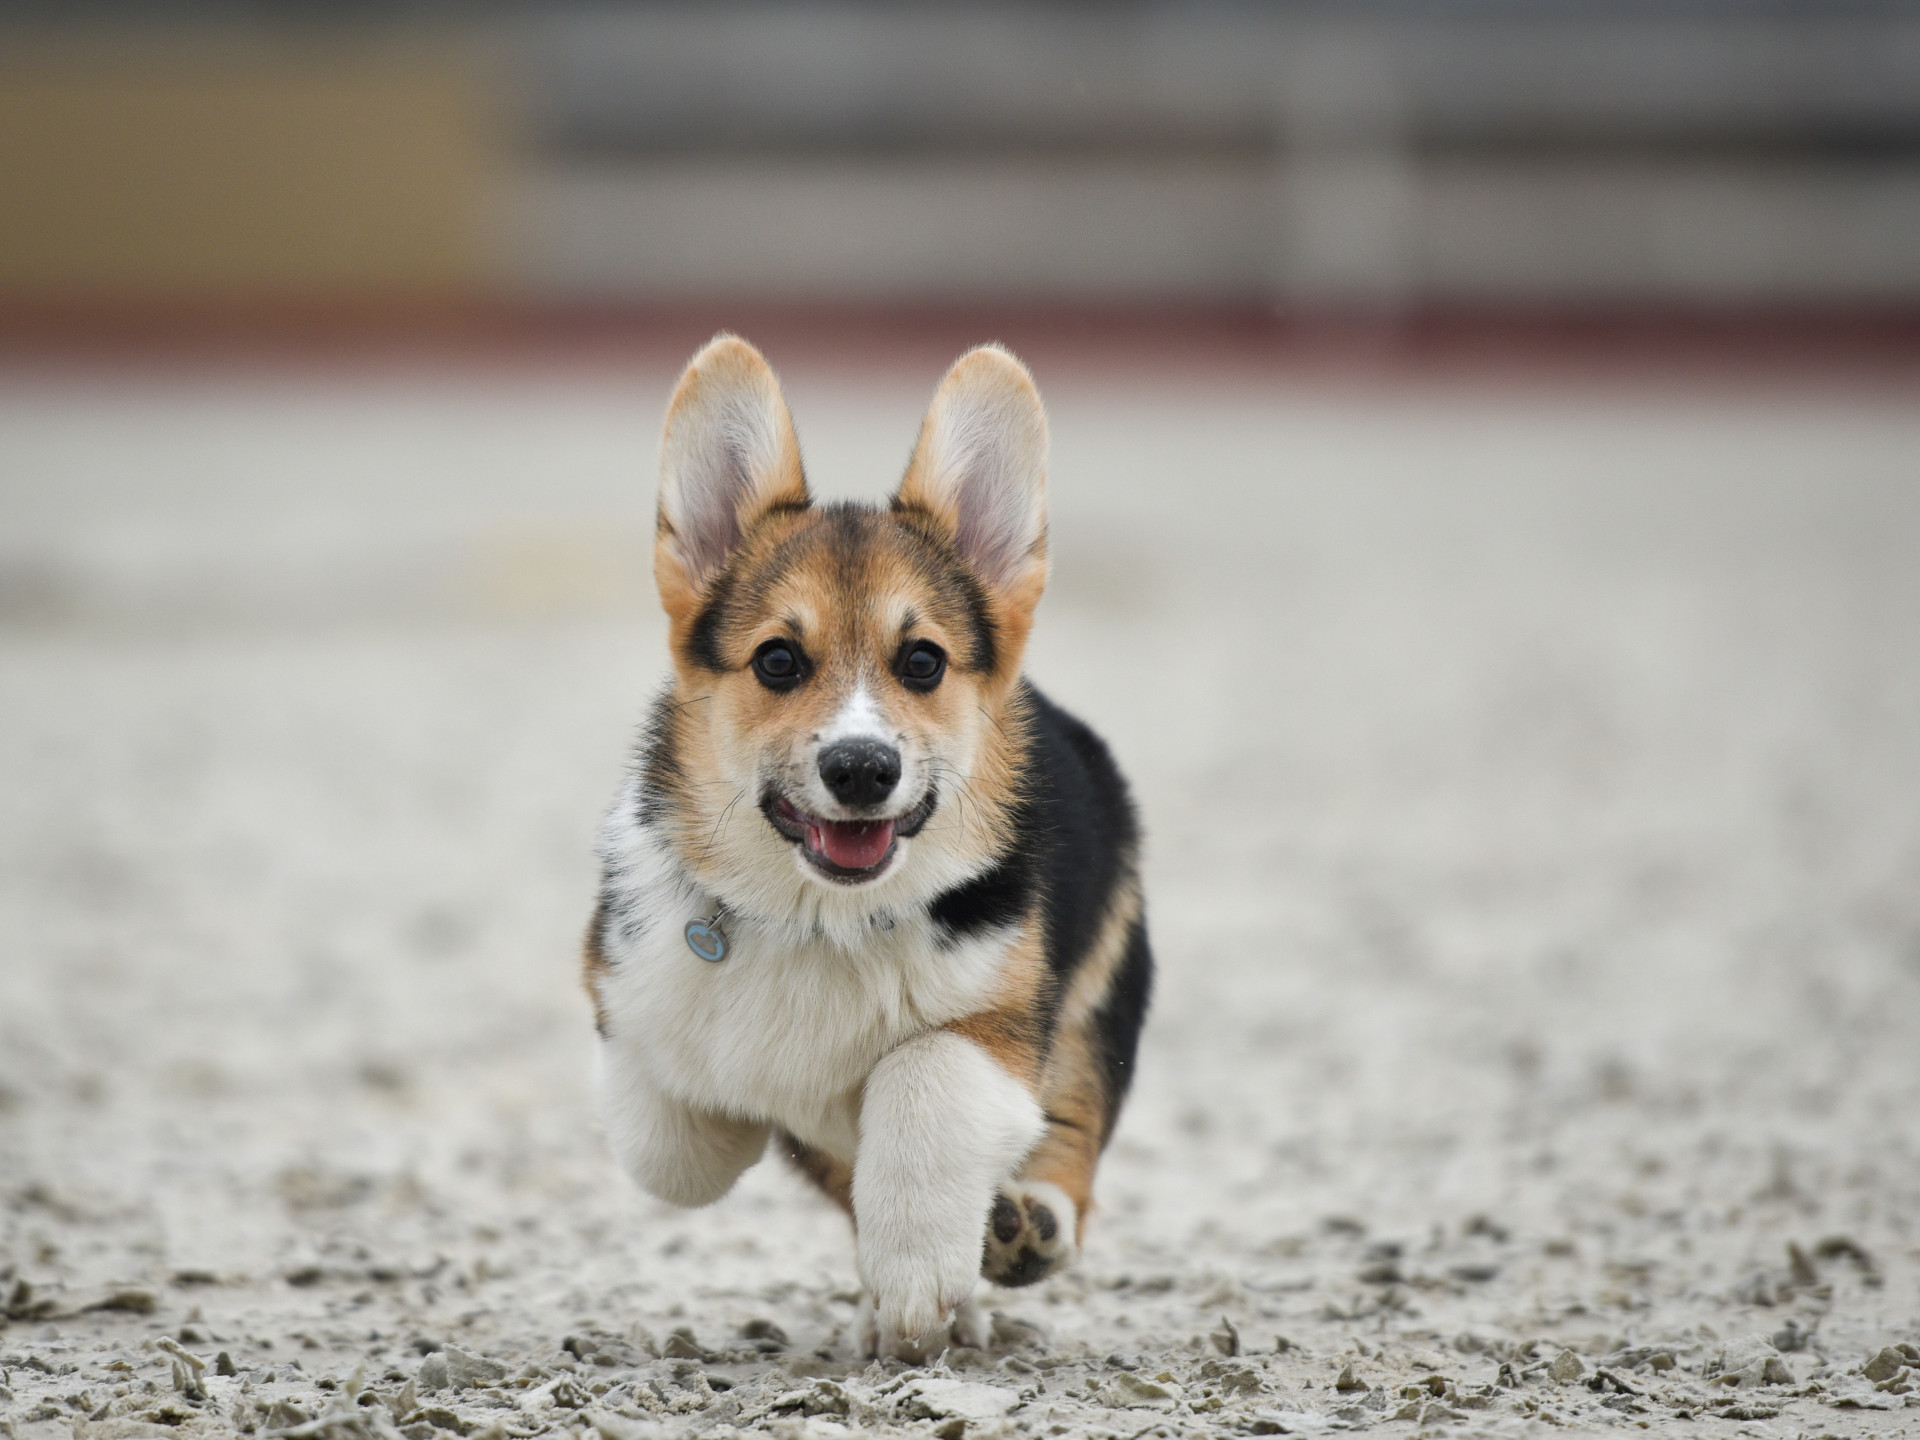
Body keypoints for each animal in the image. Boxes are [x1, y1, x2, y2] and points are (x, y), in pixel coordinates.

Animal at [583, 337, 1152, 1367]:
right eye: (777, 661)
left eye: (922, 662)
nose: (860, 767)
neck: (821, 919)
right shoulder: (620, 982)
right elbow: (674, 1146)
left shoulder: (996, 1024)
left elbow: (919, 1082)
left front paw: (918, 1281)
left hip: (1100, 990)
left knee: (1073, 1130)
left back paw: (1027, 1225)